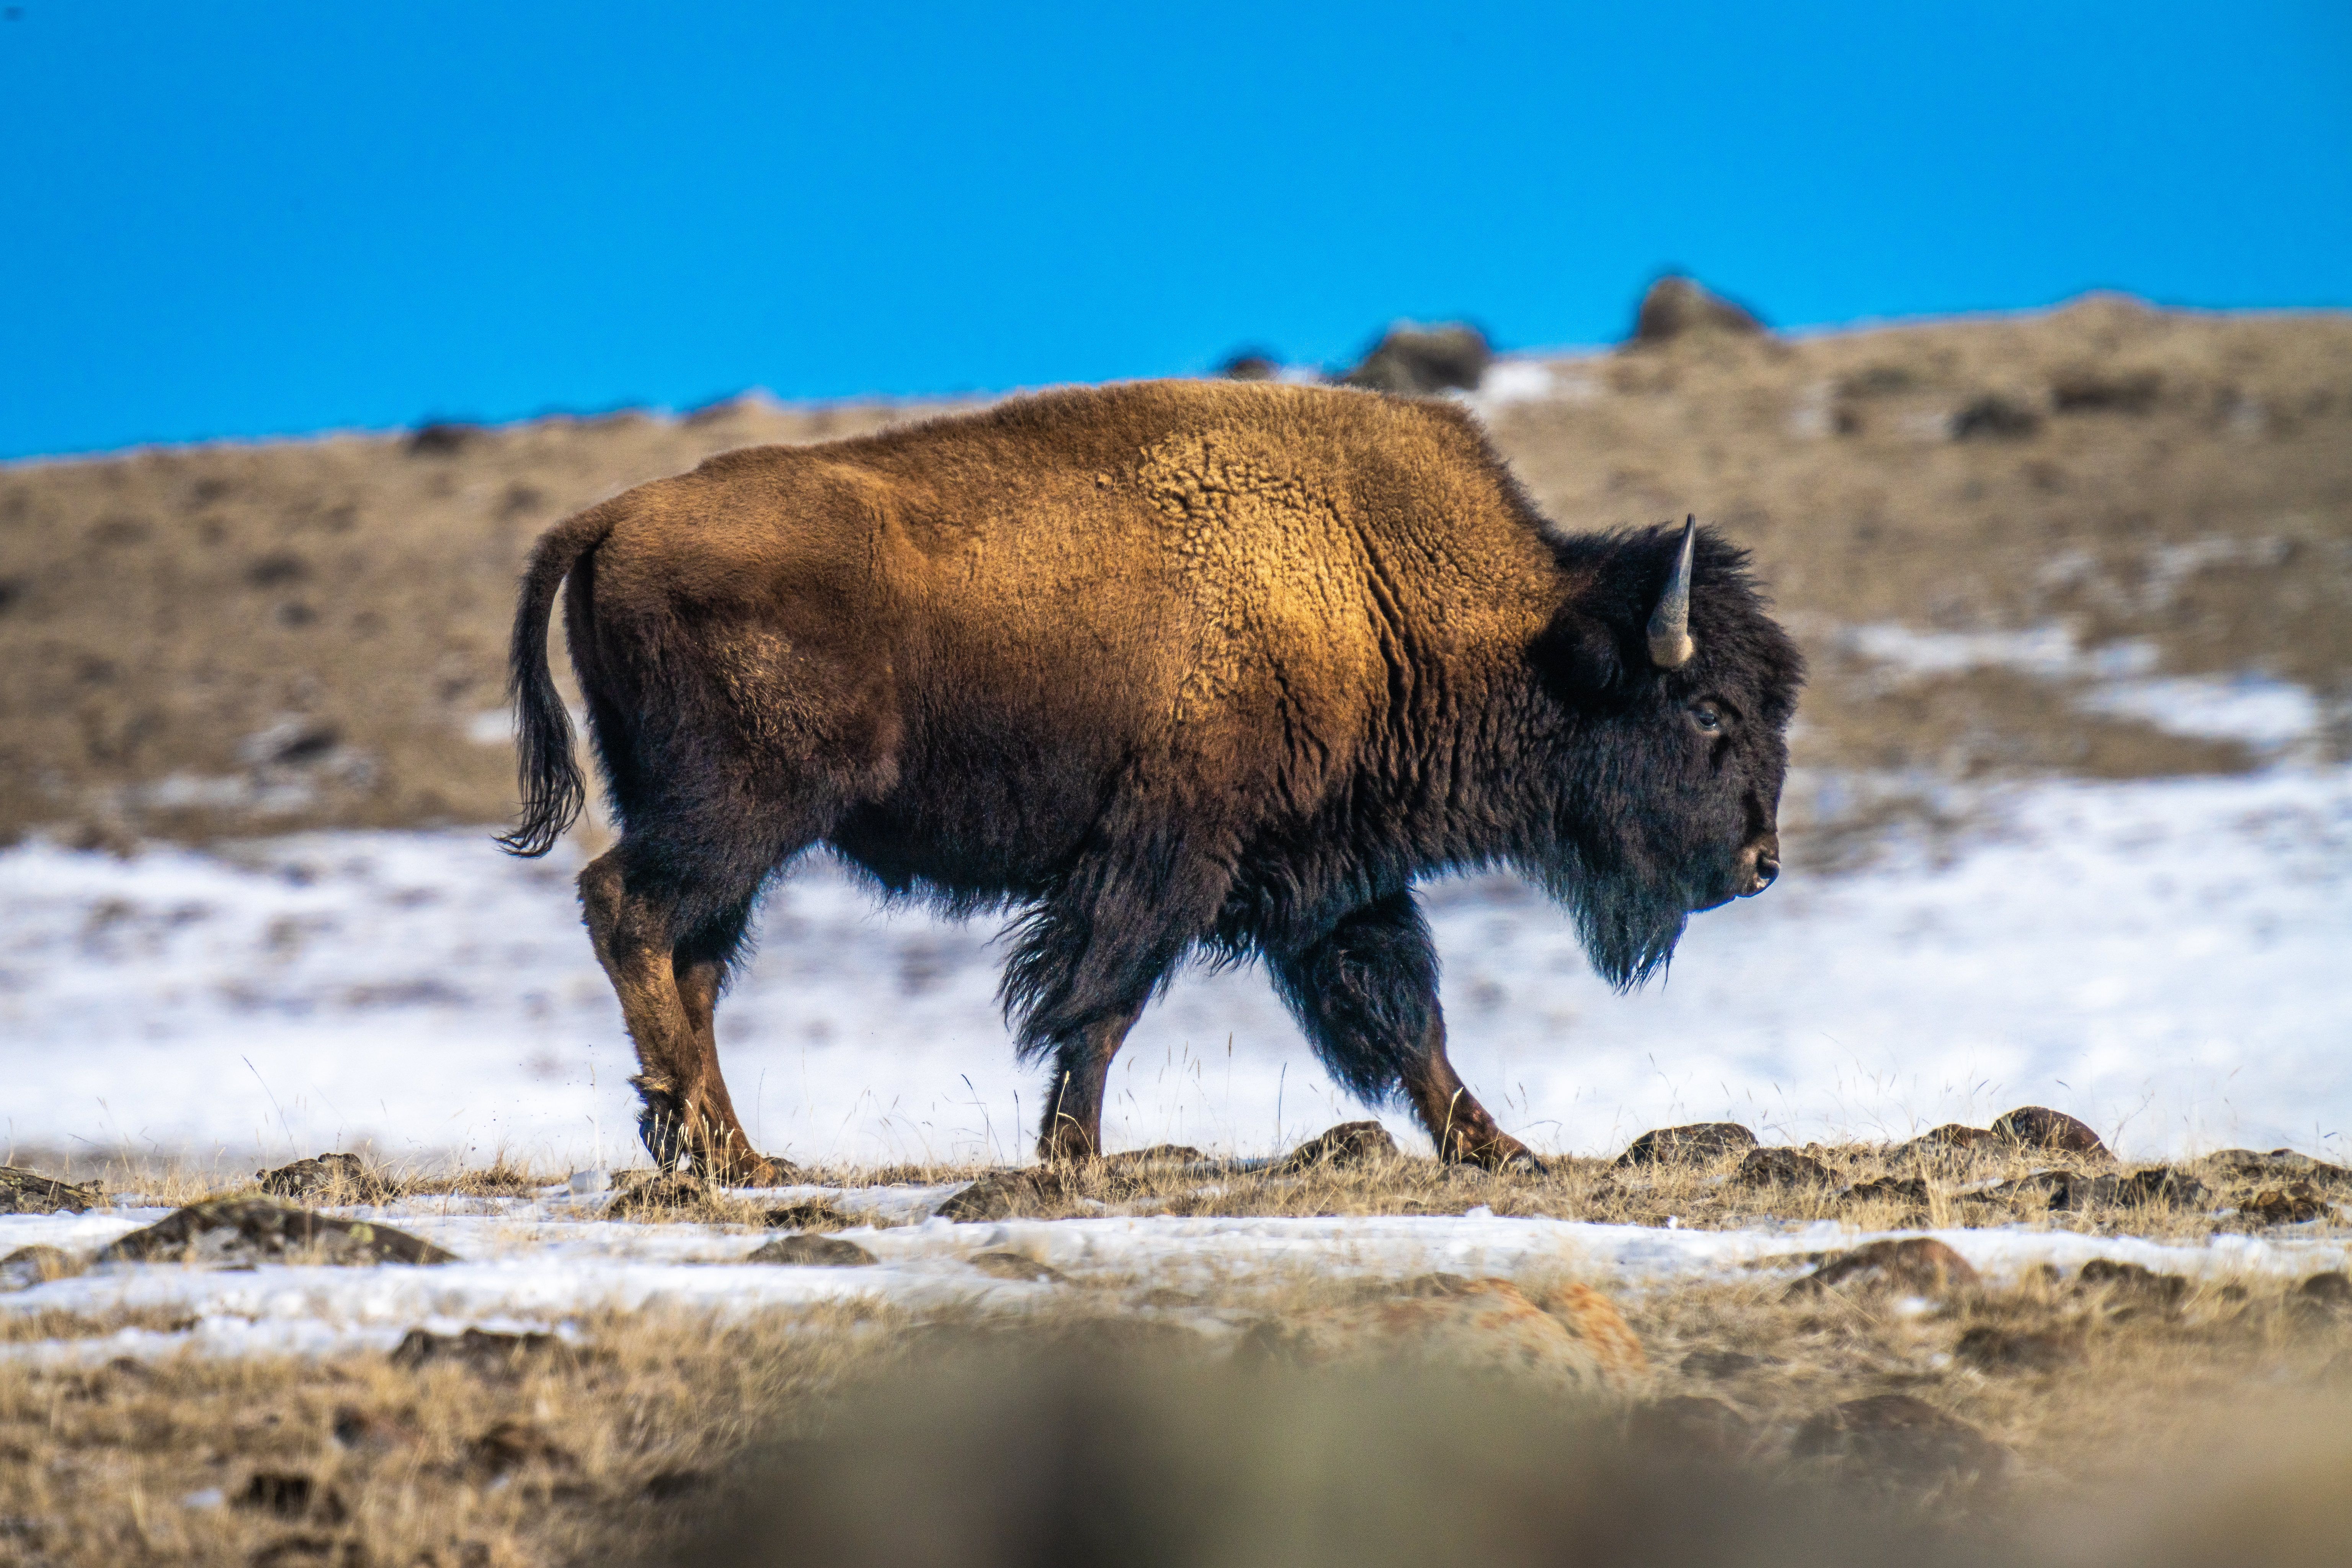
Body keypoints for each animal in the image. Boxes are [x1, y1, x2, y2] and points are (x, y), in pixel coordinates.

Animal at [500, 380, 1801, 1177]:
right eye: (1704, 711)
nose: (1761, 863)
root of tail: (611, 516)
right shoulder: (1170, 855)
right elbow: (1102, 1004)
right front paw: (1071, 1153)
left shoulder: (1331, 875)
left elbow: (1406, 1023)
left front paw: (1498, 1150)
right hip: (738, 814)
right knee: (630, 912)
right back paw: (695, 1132)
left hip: (735, 838)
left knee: (697, 961)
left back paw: (734, 1149)